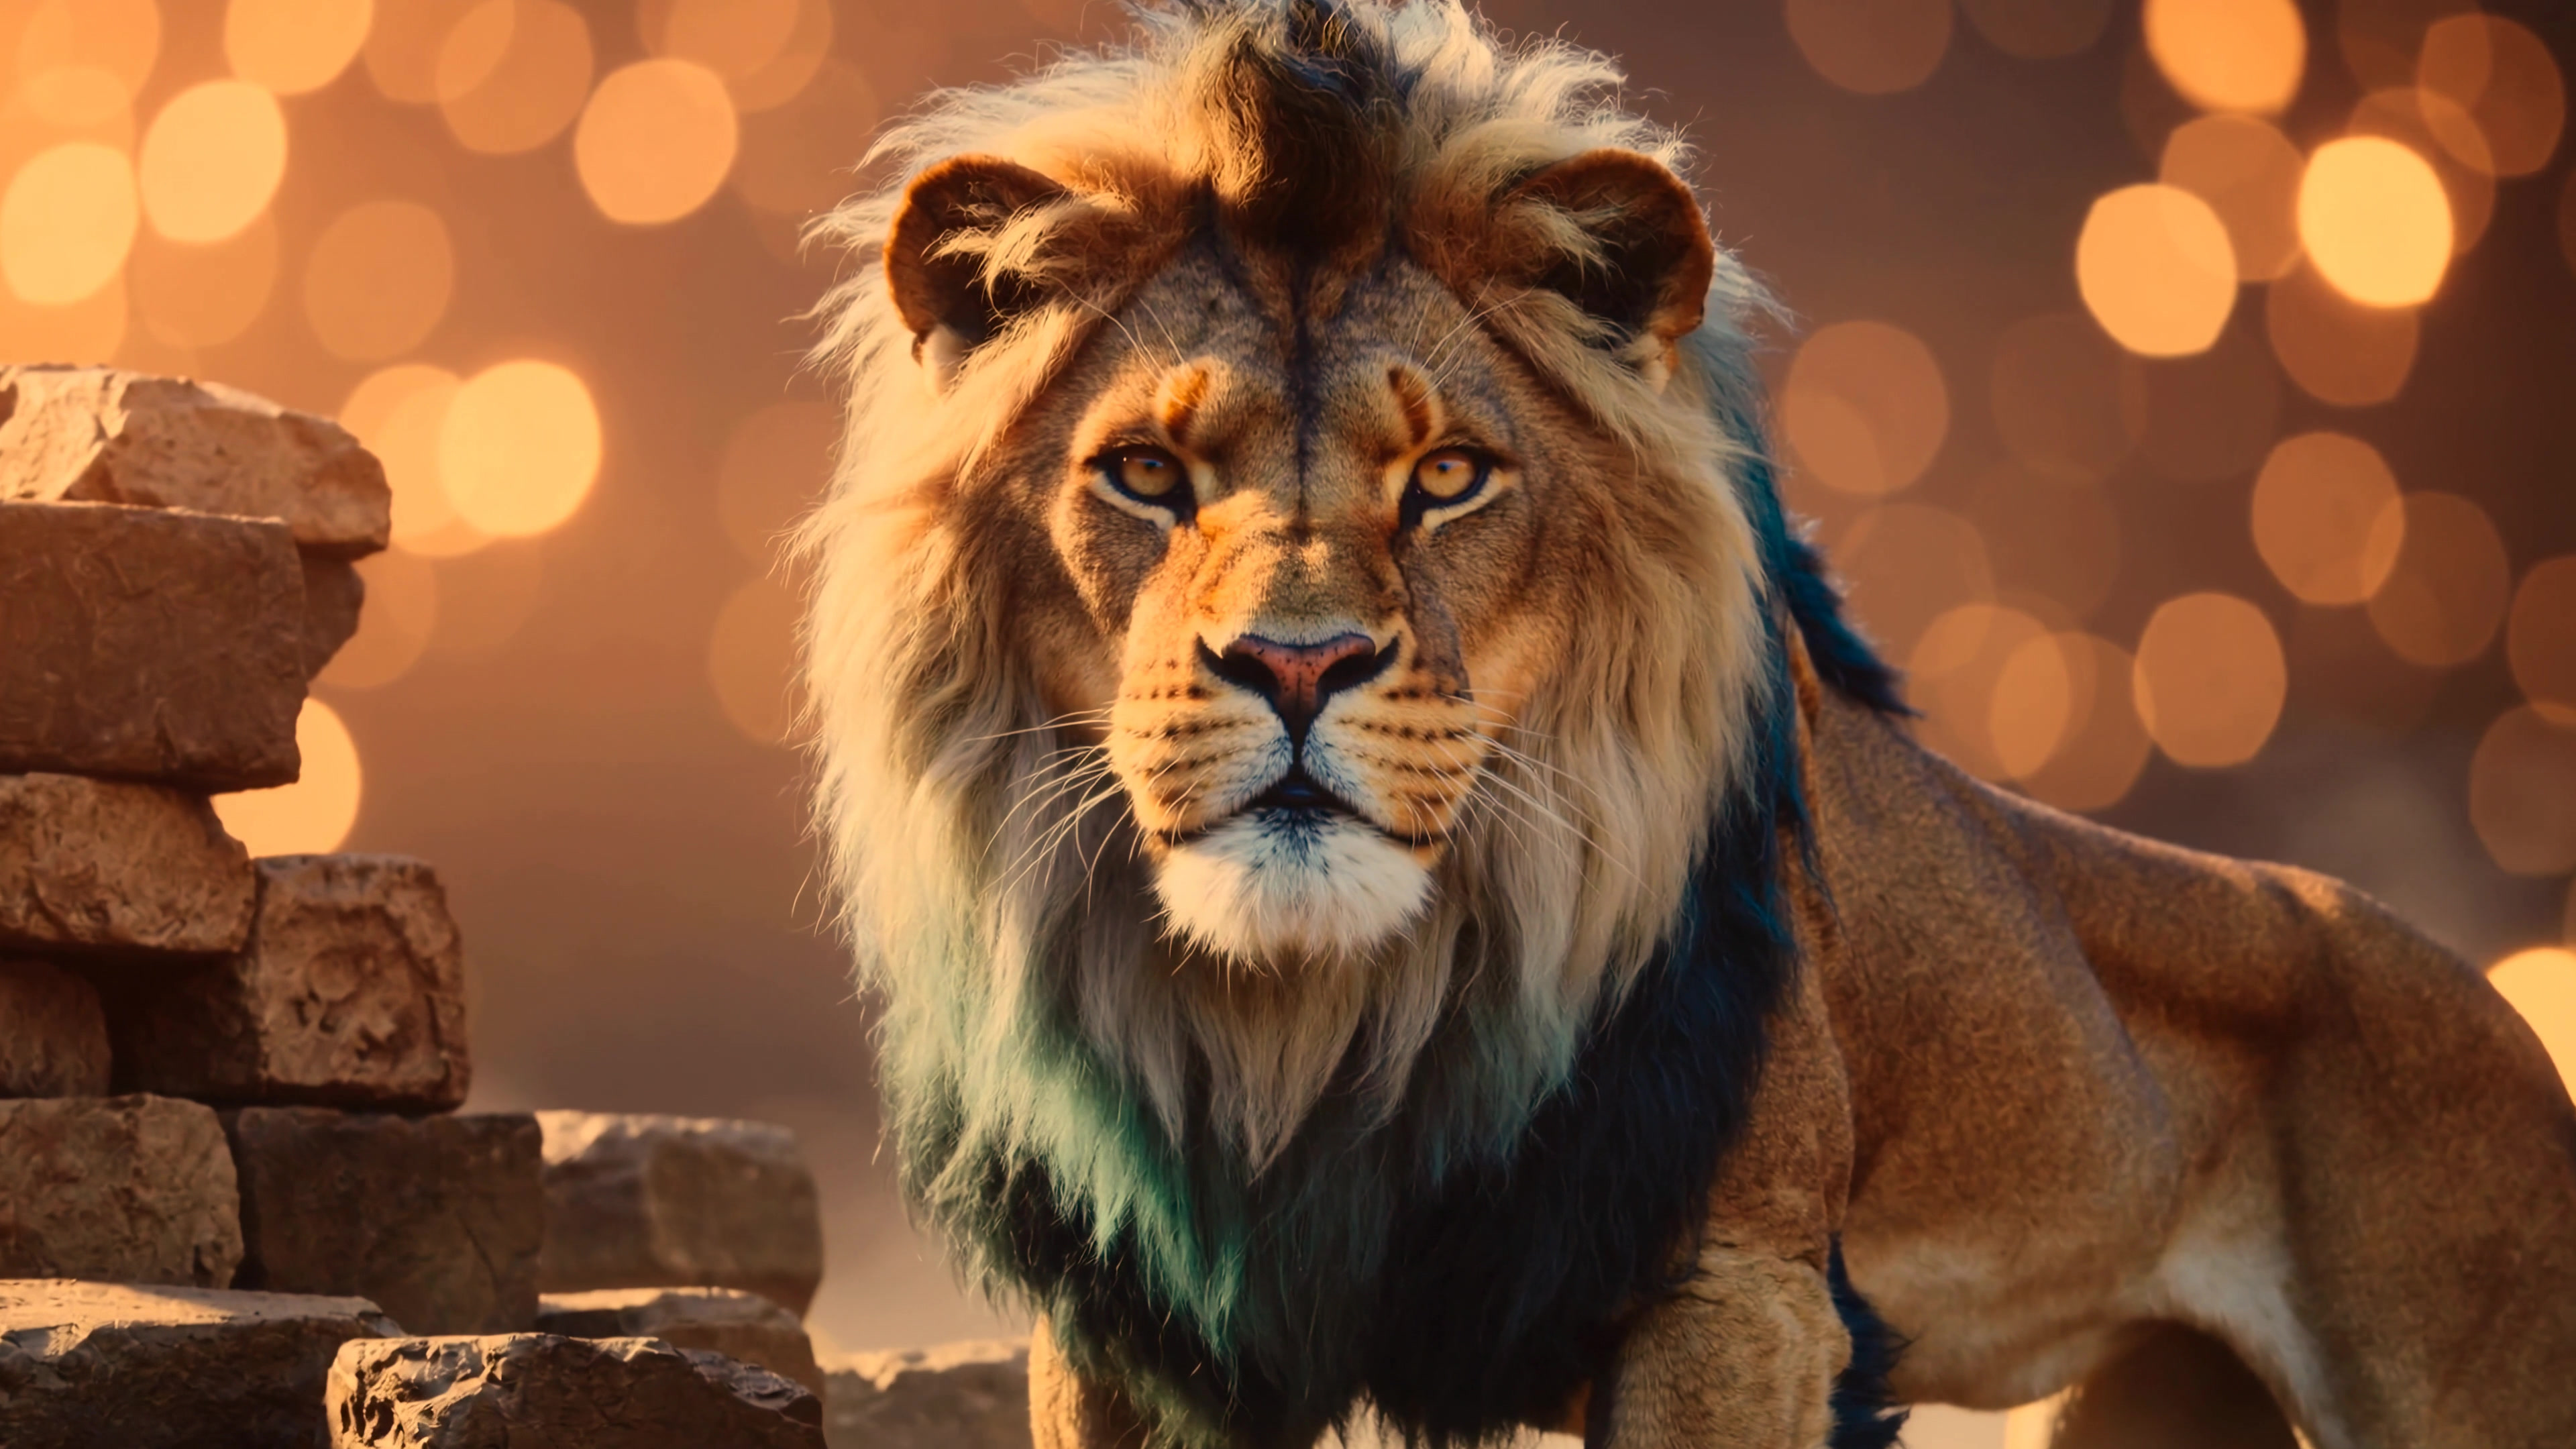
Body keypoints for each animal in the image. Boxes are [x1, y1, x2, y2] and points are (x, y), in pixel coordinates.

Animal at [796, 3, 2576, 1446]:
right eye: (1147, 474)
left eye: (1449, 476)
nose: (1298, 668)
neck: (1326, 1015)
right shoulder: (1138, 1321)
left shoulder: (1740, 1293)